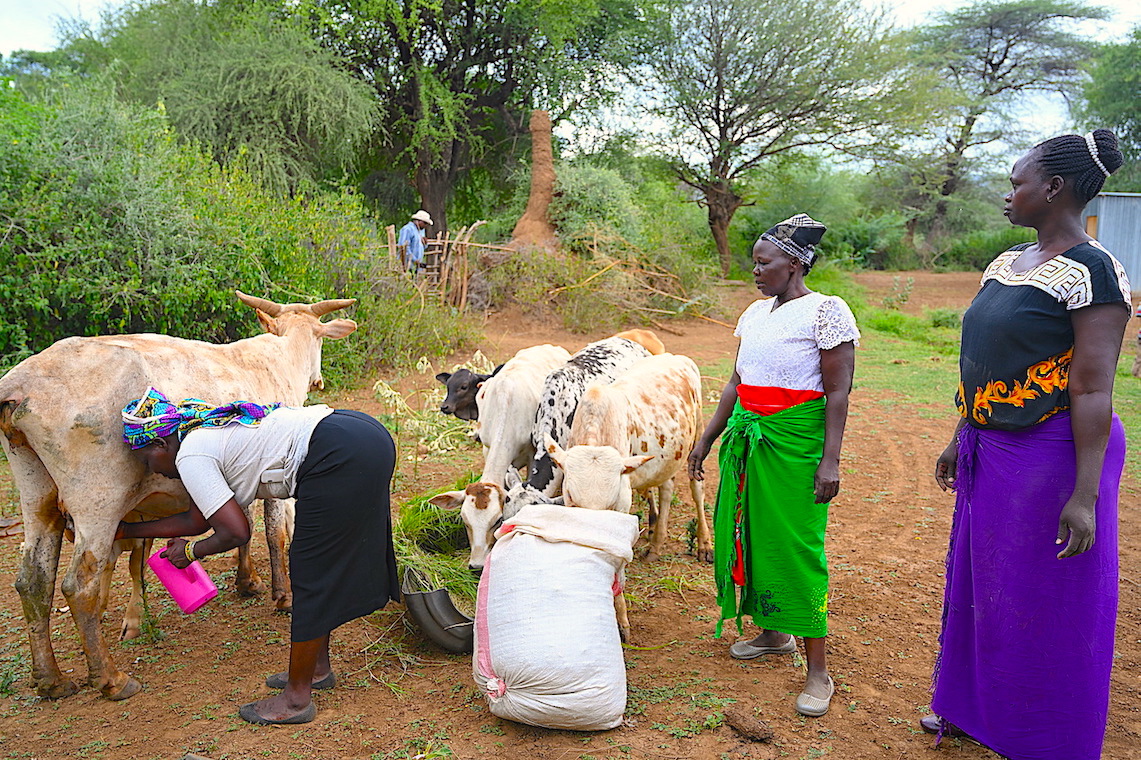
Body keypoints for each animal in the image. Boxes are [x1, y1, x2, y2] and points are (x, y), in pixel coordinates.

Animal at [0, 290, 353, 698]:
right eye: (321, 339)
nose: (318, 379)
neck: (274, 357)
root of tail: (21, 385)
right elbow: (274, 532)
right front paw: (284, 597)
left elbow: (244, 526)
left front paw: (247, 581)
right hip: (97, 500)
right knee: (79, 586)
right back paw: (110, 679)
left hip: (35, 492)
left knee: (32, 582)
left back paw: (51, 679)